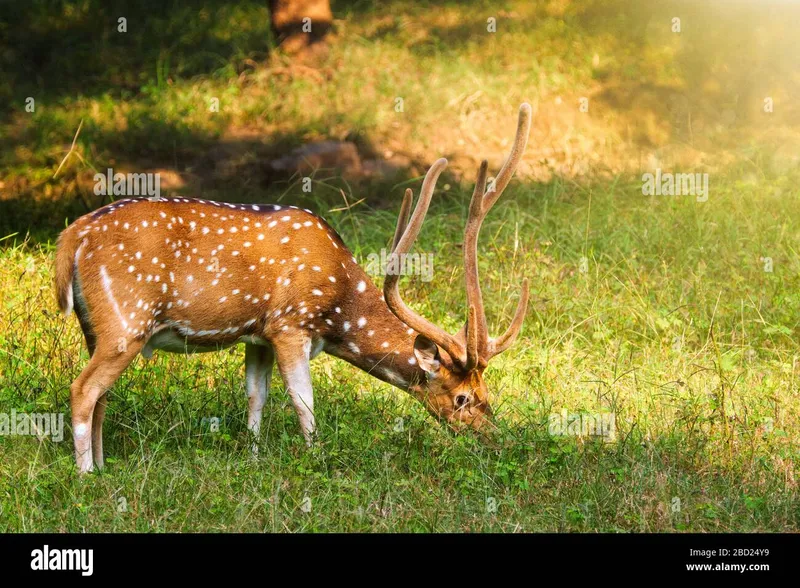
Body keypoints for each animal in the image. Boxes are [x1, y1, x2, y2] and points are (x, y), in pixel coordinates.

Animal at [54, 102, 532, 474]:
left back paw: (104, 466)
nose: (495, 439)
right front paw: (316, 461)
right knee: (83, 390)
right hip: (126, 321)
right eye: (463, 398)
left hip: (96, 328)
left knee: (100, 395)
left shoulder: (258, 336)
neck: (339, 308)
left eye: (488, 394)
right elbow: (305, 404)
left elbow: (255, 399)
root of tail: (72, 237)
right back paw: (86, 476)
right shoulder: (289, 326)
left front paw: (253, 460)